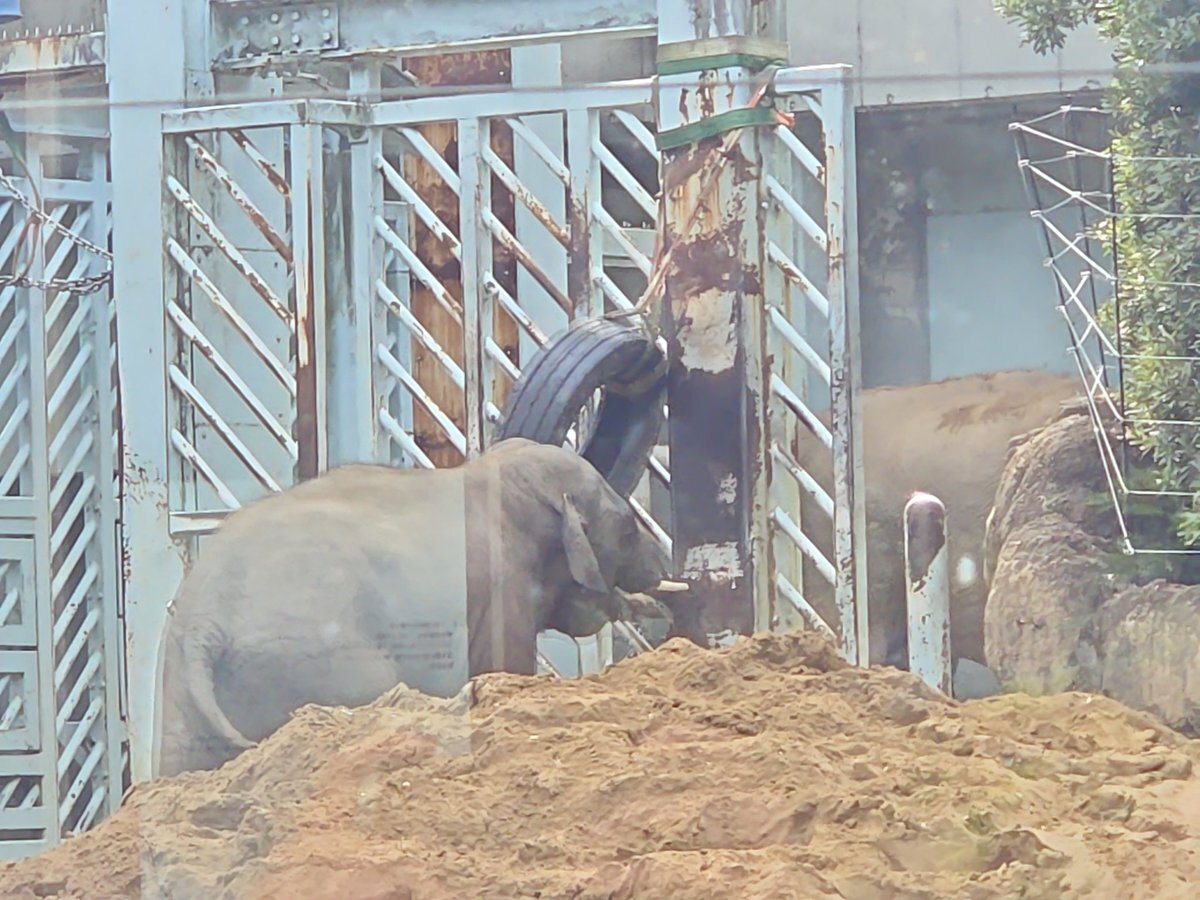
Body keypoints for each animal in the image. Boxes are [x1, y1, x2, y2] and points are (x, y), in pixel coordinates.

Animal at [155, 438, 669, 778]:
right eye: (627, 528)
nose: (661, 567)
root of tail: (205, 625)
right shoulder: (501, 590)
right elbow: (506, 665)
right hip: (315, 659)